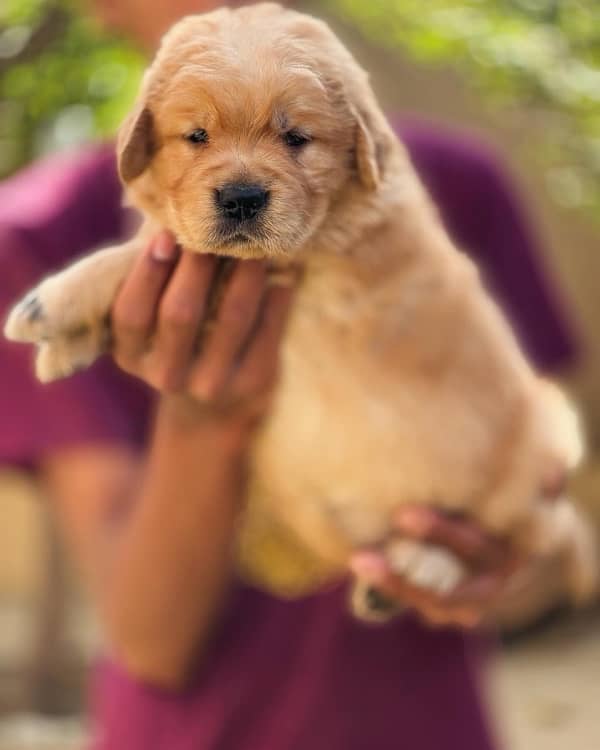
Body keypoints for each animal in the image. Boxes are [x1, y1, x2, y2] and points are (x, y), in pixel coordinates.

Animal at [4, 2, 596, 620]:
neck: (337, 212)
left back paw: (424, 565)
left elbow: (150, 253)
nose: (240, 198)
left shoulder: (293, 266)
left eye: (296, 138)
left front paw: (50, 303)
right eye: (197, 135)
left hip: (541, 444)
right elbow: (160, 244)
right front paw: (65, 343)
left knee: (523, 529)